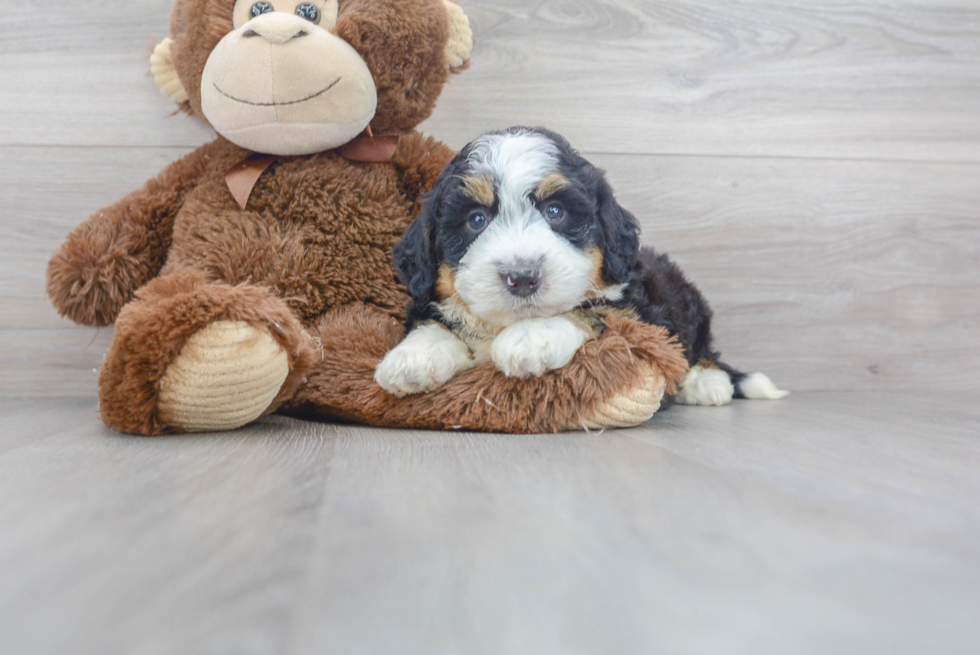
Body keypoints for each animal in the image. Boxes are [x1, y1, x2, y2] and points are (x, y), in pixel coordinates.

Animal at [376, 126, 788, 408]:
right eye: (476, 220)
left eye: (555, 212)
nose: (522, 277)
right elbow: (435, 320)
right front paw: (413, 357)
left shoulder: (639, 316)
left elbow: (592, 309)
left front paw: (532, 337)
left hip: (691, 306)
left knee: (704, 349)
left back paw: (707, 383)